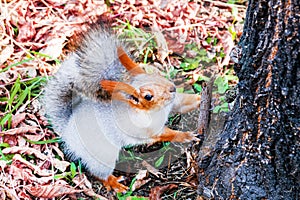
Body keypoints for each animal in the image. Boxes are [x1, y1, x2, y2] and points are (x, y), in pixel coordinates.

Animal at [42, 27, 202, 192]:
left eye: (155, 74)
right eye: (148, 96)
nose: (172, 88)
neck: (152, 111)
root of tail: (67, 130)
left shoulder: (173, 103)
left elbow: (184, 103)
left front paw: (203, 97)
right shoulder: (146, 129)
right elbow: (166, 134)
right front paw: (186, 136)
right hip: (103, 154)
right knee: (99, 174)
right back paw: (115, 184)